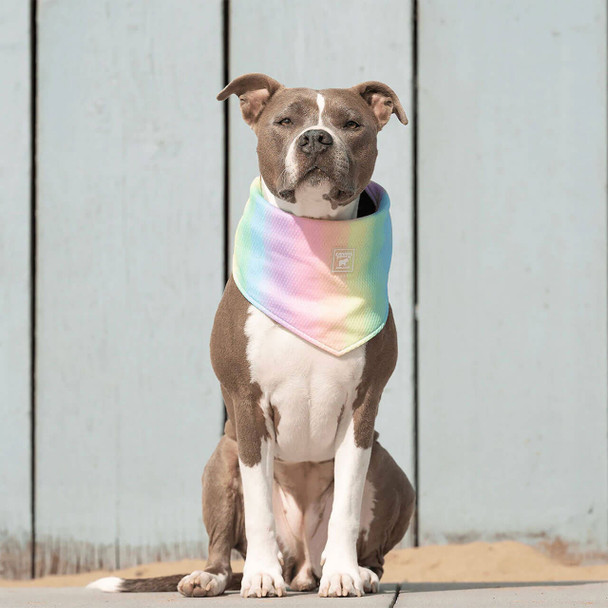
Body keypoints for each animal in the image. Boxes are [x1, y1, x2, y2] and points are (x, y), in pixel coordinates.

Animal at [88, 72, 416, 600]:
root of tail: (301, 564)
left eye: (351, 124)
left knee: (371, 551)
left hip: (391, 471)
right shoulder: (246, 405)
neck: (312, 255)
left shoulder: (363, 407)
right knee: (223, 549)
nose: (317, 138)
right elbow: (259, 504)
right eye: (284, 121)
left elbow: (346, 505)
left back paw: (355, 571)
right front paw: (261, 576)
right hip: (221, 458)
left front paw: (345, 574)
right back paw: (213, 576)